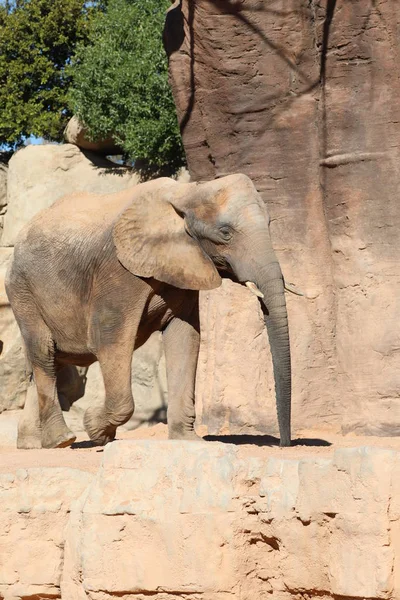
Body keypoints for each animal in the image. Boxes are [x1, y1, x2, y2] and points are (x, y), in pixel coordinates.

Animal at [4, 171, 292, 448]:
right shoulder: (118, 270)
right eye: (225, 233)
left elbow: (185, 338)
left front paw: (188, 441)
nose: (284, 444)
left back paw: (34, 445)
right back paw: (62, 440)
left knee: (52, 360)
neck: (186, 192)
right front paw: (96, 430)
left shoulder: (184, 272)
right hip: (22, 290)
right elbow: (109, 341)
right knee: (44, 352)